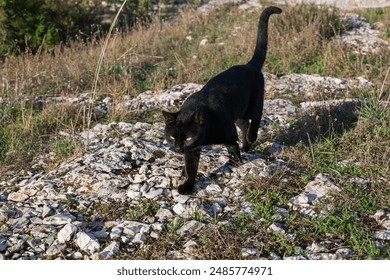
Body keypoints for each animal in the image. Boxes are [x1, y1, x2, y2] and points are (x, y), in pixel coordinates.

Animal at [163, 6, 282, 195]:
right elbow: (191, 168)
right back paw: (247, 145)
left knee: (256, 118)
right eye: (172, 137)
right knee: (244, 124)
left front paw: (234, 163)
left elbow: (233, 148)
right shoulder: (193, 150)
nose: (178, 148)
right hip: (239, 114)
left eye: (187, 138)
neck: (205, 135)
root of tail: (249, 65)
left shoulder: (228, 134)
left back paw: (252, 137)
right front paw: (187, 185)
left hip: (253, 105)